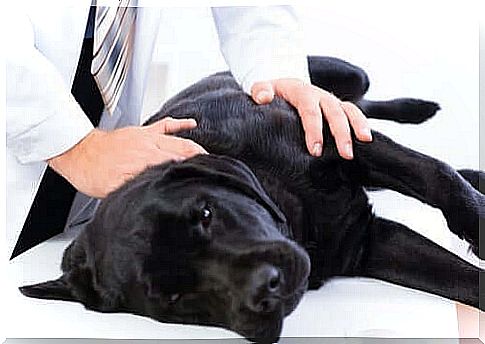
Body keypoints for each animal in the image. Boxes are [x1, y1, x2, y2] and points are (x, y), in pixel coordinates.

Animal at [20, 55, 482, 342]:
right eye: (173, 298)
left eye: (206, 213)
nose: (266, 289)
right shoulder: (369, 244)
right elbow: (457, 277)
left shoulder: (340, 140)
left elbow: (435, 175)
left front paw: (474, 223)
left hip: (346, 76)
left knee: (361, 104)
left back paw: (418, 109)